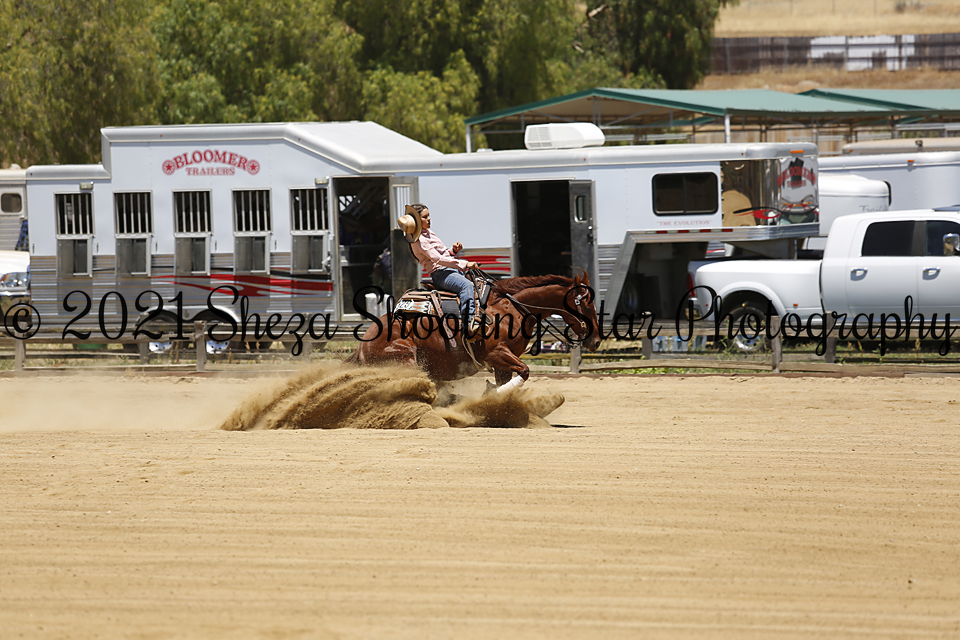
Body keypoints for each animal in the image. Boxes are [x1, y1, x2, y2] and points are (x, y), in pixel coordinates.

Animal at [350, 272, 602, 389]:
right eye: (587, 303)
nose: (597, 341)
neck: (509, 308)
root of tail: (362, 345)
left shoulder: (504, 362)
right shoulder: (496, 353)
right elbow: (525, 371)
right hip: (406, 360)